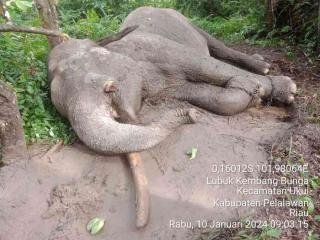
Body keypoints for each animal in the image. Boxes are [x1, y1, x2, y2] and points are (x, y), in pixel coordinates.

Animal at [47, 7, 296, 156]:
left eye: (109, 88)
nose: (190, 115)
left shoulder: (157, 47)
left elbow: (205, 66)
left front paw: (278, 89)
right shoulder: (165, 88)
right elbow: (208, 97)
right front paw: (250, 93)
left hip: (183, 18)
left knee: (215, 45)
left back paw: (263, 67)